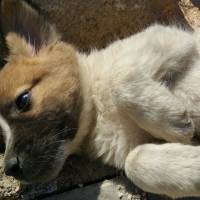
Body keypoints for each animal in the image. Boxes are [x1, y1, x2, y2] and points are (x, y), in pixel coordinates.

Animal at [0, 0, 200, 198]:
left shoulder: (172, 39)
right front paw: (192, 166)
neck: (98, 111)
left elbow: (118, 74)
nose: (10, 169)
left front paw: (172, 122)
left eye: (22, 100)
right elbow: (134, 161)